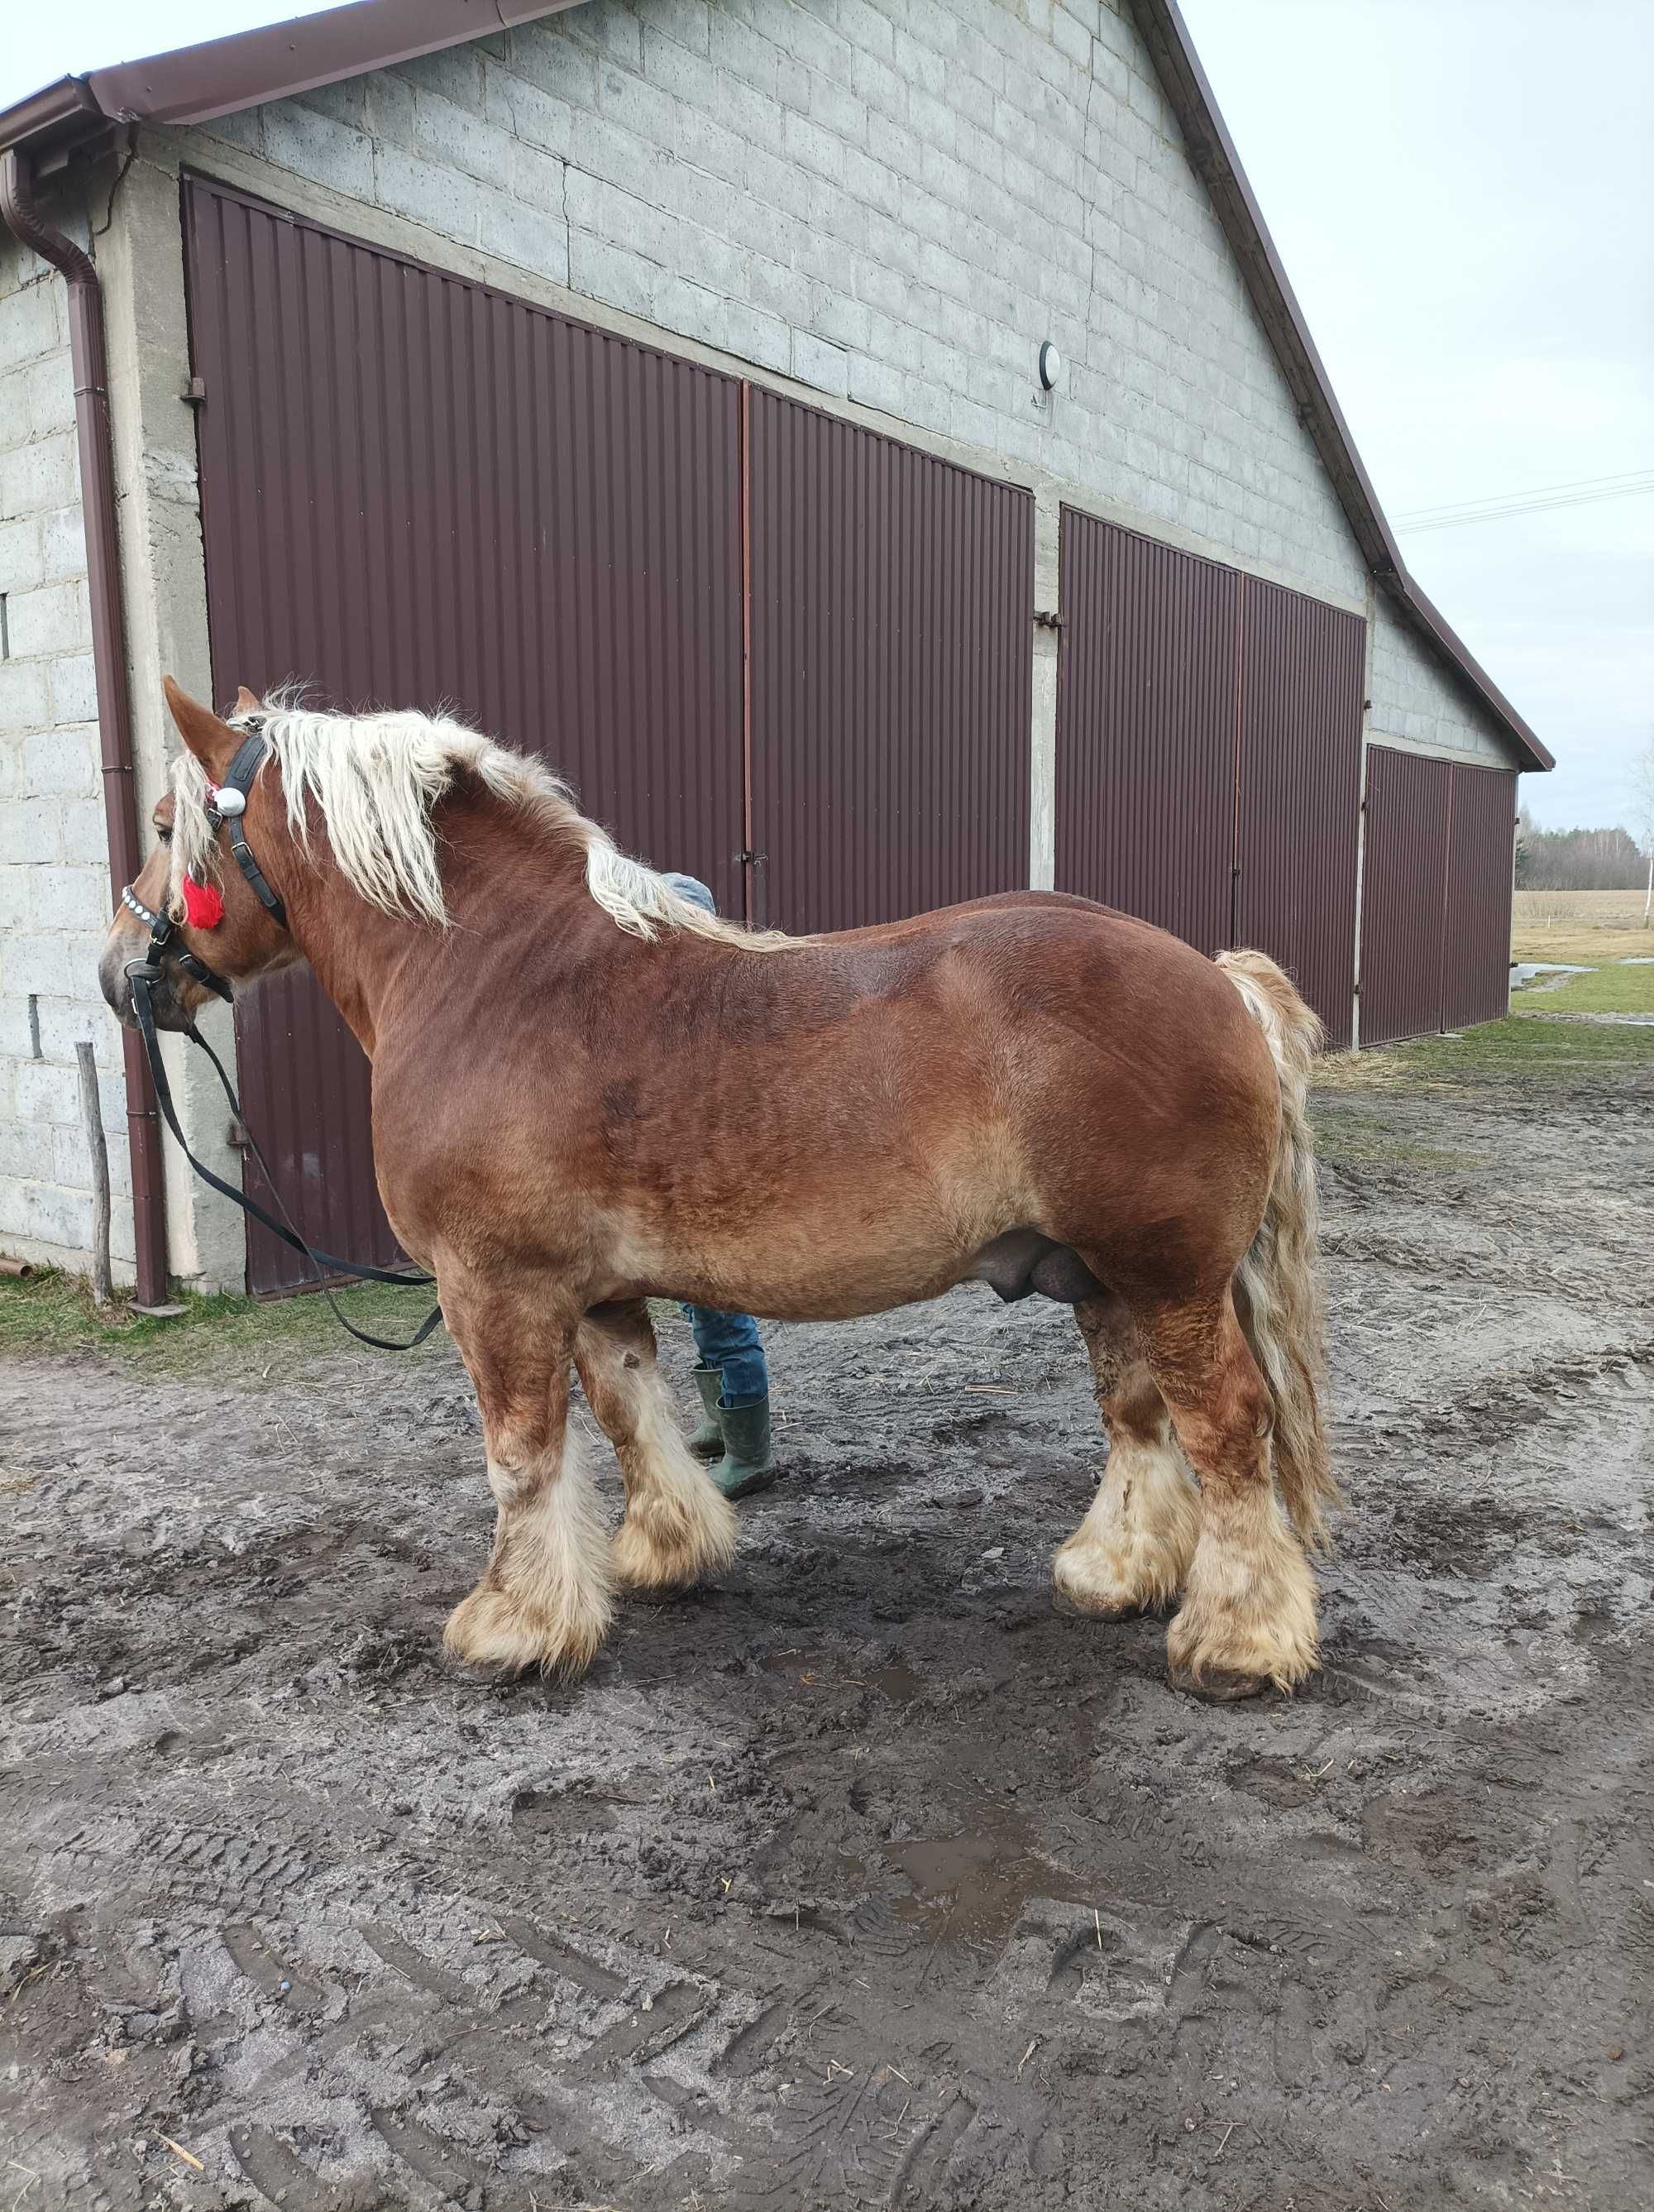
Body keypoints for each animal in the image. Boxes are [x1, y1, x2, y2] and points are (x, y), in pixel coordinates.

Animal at [103, 681, 1335, 1698]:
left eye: (165, 827)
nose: (122, 971)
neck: (496, 977)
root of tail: (1218, 978)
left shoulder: (492, 1286)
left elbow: (520, 1455)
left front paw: (512, 1625)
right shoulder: (595, 1289)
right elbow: (627, 1411)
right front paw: (664, 1551)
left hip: (1165, 1275)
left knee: (1227, 1422)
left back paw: (1238, 1640)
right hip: (1098, 1275)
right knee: (1138, 1417)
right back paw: (1113, 1571)